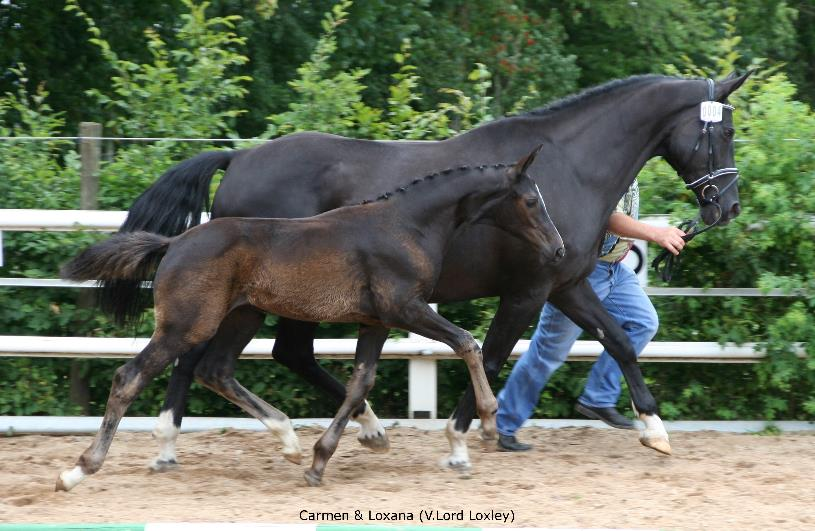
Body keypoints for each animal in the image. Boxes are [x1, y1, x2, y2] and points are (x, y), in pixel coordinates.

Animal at [57, 145, 564, 490]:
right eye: (531, 201)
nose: (559, 250)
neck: (407, 224)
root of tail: (174, 243)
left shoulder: (376, 322)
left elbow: (361, 382)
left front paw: (322, 460)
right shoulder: (405, 308)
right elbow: (466, 342)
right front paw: (486, 423)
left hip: (243, 317)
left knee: (214, 370)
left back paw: (289, 441)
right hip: (188, 324)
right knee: (132, 376)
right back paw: (78, 470)